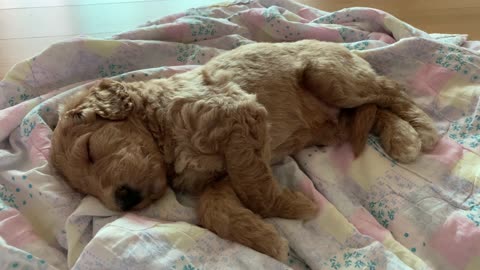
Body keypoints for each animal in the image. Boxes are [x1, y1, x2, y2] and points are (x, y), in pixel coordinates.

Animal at [49, 40, 438, 262]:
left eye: (90, 150)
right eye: (84, 189)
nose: (124, 200)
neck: (162, 130)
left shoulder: (237, 116)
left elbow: (255, 188)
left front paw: (294, 207)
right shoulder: (219, 175)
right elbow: (213, 209)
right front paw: (264, 239)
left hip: (331, 76)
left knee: (390, 90)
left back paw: (423, 131)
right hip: (335, 123)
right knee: (373, 111)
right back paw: (402, 135)